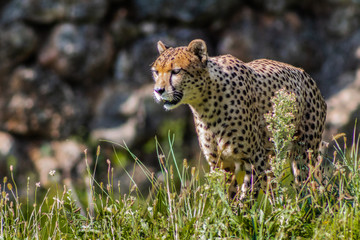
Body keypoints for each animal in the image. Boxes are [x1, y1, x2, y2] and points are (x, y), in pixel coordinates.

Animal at [150, 39, 328, 201]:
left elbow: (247, 199)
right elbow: (227, 198)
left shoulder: (255, 159)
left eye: (176, 71)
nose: (158, 90)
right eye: (156, 72)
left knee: (306, 187)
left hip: (304, 153)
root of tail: (304, 73)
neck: (206, 104)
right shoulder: (220, 164)